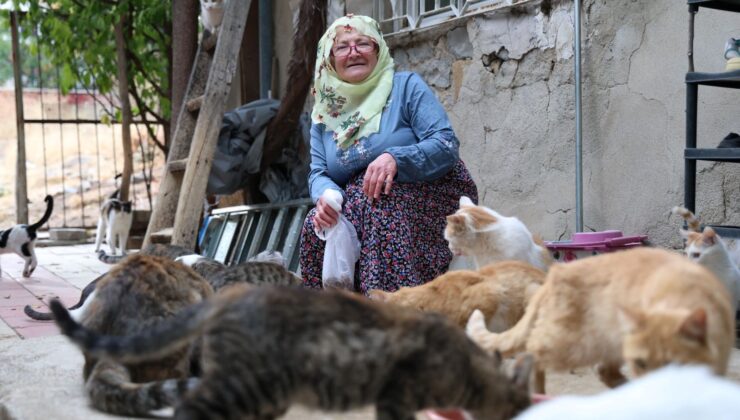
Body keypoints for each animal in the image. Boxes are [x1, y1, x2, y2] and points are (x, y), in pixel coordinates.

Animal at [468, 246, 736, 394]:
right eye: (641, 363)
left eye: (673, 364)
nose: (651, 384)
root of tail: (552, 276)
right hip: (569, 345)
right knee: (530, 353)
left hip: (609, 343)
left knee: (603, 371)